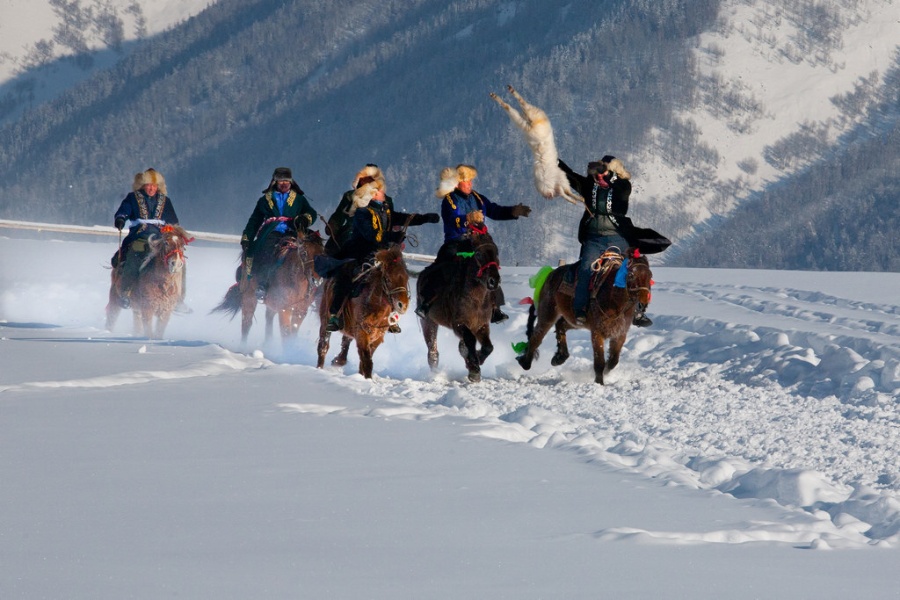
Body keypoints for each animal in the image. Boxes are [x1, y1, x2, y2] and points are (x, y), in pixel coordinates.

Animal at [316, 243, 412, 376]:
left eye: (406, 278)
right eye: (388, 279)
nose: (403, 305)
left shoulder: (377, 337)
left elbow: (365, 360)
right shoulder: (362, 333)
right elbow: (367, 362)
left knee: (345, 341)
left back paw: (339, 359)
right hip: (325, 320)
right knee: (323, 346)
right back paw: (319, 368)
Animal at [418, 232, 502, 382]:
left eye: (496, 252)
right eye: (479, 254)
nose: (494, 281)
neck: (476, 300)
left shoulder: (481, 325)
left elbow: (488, 347)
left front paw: (477, 360)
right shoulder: (459, 324)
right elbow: (470, 340)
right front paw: (474, 369)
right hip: (428, 321)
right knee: (432, 352)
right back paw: (435, 374)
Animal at [512, 248, 652, 384]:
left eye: (650, 276)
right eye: (631, 275)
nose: (642, 304)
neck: (613, 298)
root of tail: (551, 274)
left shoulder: (620, 334)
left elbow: (613, 361)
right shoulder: (597, 333)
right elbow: (599, 363)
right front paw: (599, 383)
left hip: (573, 320)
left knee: (560, 325)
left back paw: (560, 357)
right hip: (548, 314)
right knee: (536, 337)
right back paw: (525, 362)